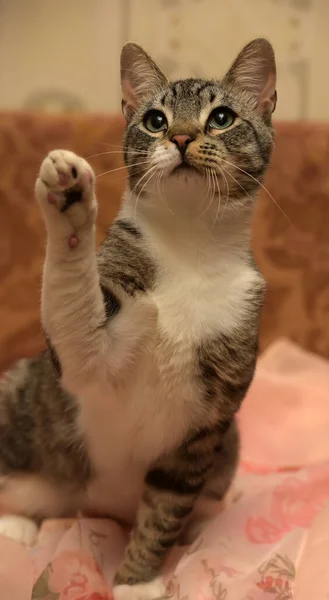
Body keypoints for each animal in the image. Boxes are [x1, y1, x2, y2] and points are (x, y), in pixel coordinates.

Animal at [0, 38, 276, 600]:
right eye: (155, 119)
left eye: (221, 117)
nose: (182, 136)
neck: (190, 249)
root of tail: (96, 507)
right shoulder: (89, 356)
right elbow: (76, 317)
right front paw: (69, 202)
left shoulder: (206, 427)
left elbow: (167, 504)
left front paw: (136, 580)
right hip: (20, 402)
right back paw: (16, 522)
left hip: (231, 445)